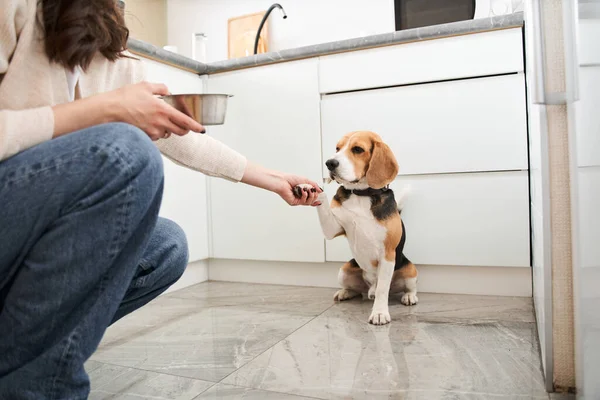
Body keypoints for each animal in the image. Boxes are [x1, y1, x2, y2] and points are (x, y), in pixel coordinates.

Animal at [296, 131, 418, 324]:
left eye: (358, 149)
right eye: (337, 148)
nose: (330, 163)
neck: (361, 194)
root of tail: (370, 288)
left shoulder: (387, 253)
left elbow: (383, 289)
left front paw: (379, 313)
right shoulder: (332, 228)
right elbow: (323, 198)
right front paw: (308, 187)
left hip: (410, 270)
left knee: (403, 288)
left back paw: (409, 296)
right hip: (344, 270)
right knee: (357, 290)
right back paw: (345, 292)